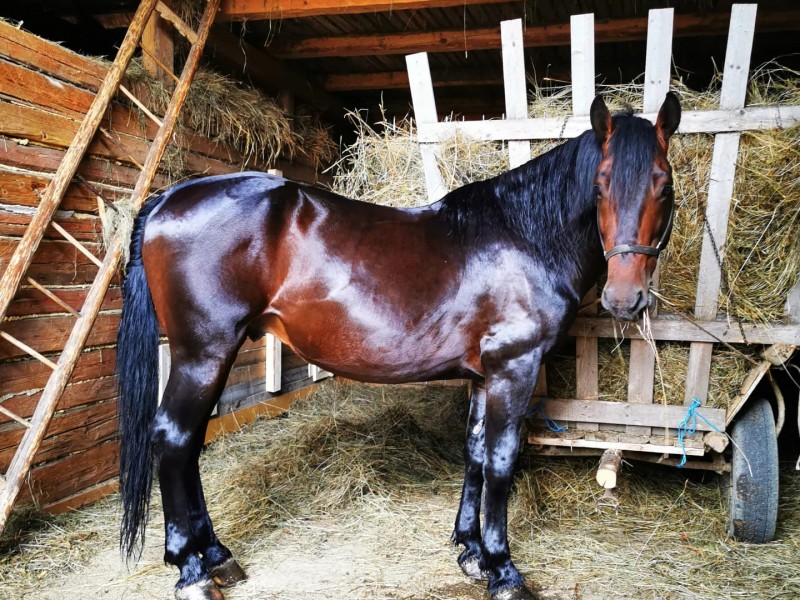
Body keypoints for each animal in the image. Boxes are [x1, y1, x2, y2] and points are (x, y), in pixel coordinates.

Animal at [116, 93, 681, 600]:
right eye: (601, 185)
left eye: (664, 183)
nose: (624, 298)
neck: (524, 236)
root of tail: (167, 200)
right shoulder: (513, 368)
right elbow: (501, 460)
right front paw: (504, 571)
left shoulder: (484, 375)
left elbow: (476, 452)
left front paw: (471, 551)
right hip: (203, 352)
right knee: (174, 439)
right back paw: (191, 571)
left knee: (189, 444)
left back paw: (217, 556)